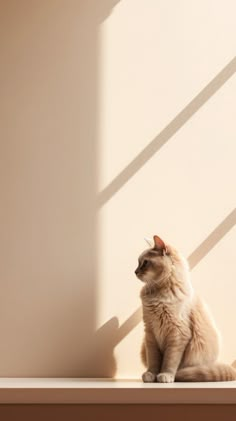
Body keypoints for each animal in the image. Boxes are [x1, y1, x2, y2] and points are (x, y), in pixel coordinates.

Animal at [135, 235, 236, 382]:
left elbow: (170, 361)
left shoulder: (178, 335)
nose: (135, 271)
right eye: (138, 263)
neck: (159, 293)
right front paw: (151, 374)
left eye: (145, 262)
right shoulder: (150, 333)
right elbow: (153, 360)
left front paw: (166, 375)